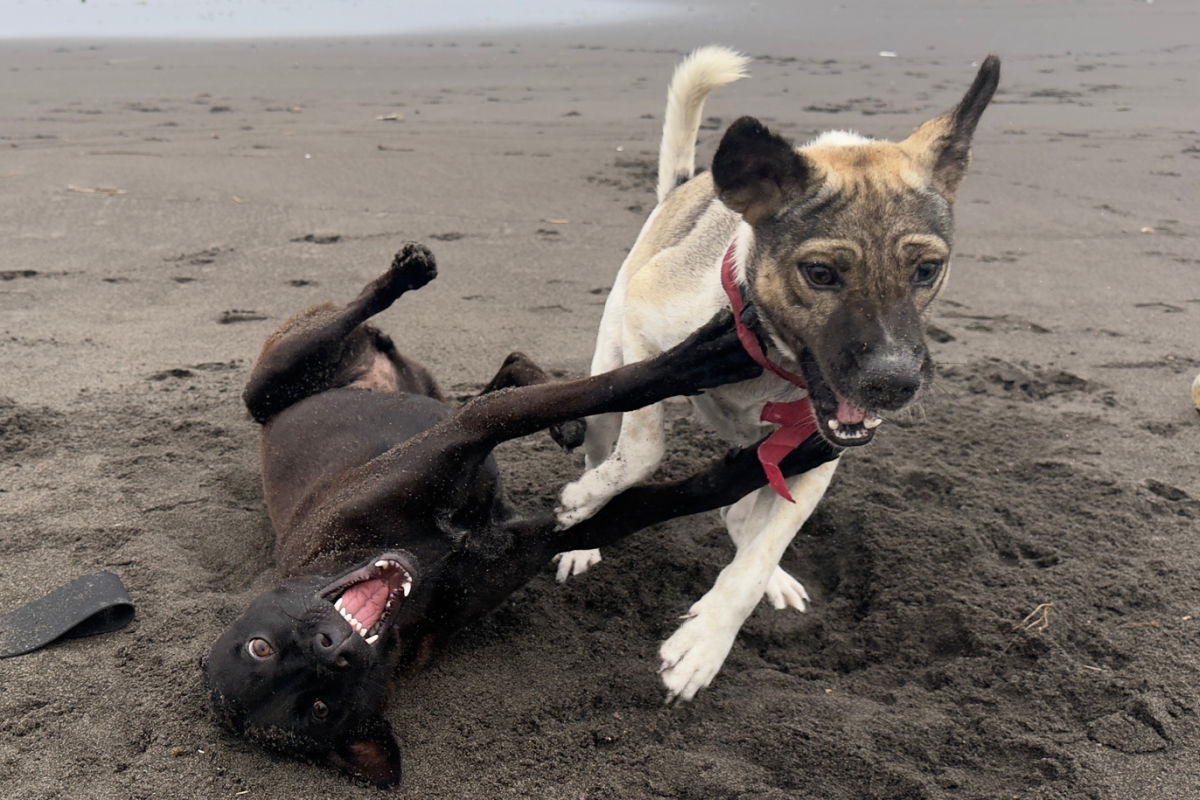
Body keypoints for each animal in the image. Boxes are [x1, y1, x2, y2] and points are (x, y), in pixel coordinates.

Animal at [201, 247, 835, 786]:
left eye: (259, 646)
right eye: (317, 706)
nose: (334, 648)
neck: (421, 575)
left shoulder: (465, 437)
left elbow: (613, 391)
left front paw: (773, 423)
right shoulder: (550, 526)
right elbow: (660, 481)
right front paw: (780, 441)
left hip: (281, 378)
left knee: (424, 341)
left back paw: (407, 276)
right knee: (494, 378)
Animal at [554, 48, 1003, 700]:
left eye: (926, 269)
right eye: (819, 273)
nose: (893, 383)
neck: (773, 362)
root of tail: (686, 188)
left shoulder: (816, 453)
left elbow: (760, 550)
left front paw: (706, 641)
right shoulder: (646, 330)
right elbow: (644, 449)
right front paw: (583, 504)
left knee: (740, 513)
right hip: (611, 363)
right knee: (605, 446)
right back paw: (586, 521)